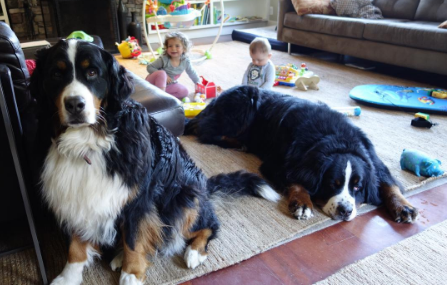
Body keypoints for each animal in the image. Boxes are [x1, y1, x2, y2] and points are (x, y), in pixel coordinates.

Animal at [29, 40, 280, 284]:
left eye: (92, 72)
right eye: (56, 74)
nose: (74, 104)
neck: (89, 142)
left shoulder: (138, 200)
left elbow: (133, 239)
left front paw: (131, 274)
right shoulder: (74, 195)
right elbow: (76, 245)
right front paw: (68, 276)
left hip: (183, 200)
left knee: (208, 225)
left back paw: (194, 252)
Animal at [185, 85, 420, 223]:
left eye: (357, 186)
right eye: (332, 184)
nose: (345, 210)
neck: (338, 140)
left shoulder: (373, 161)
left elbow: (389, 183)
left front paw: (404, 206)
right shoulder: (277, 164)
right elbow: (296, 180)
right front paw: (302, 203)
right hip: (243, 105)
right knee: (204, 130)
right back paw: (236, 142)